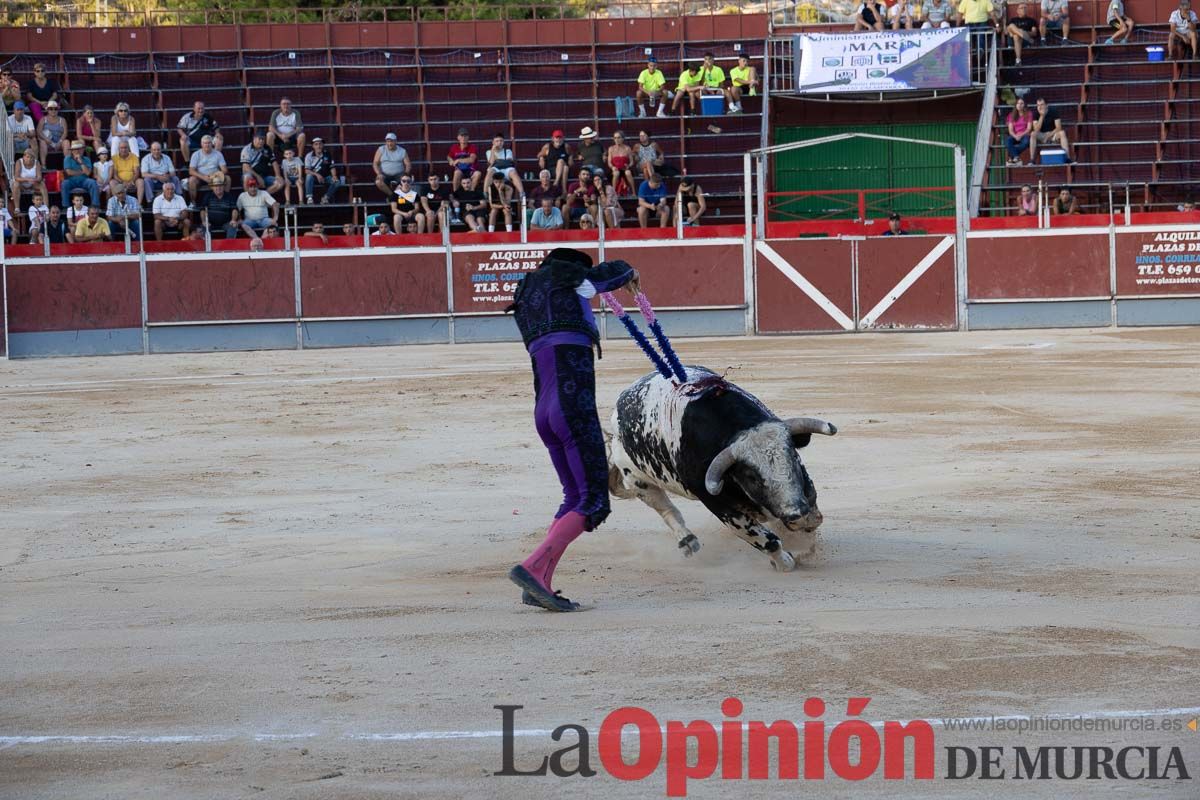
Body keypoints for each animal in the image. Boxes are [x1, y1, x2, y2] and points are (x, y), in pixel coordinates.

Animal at [609, 367, 835, 573]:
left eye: (794, 457)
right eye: (751, 477)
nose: (797, 514)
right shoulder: (719, 505)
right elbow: (766, 540)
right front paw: (784, 562)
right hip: (638, 480)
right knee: (666, 509)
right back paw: (688, 541)